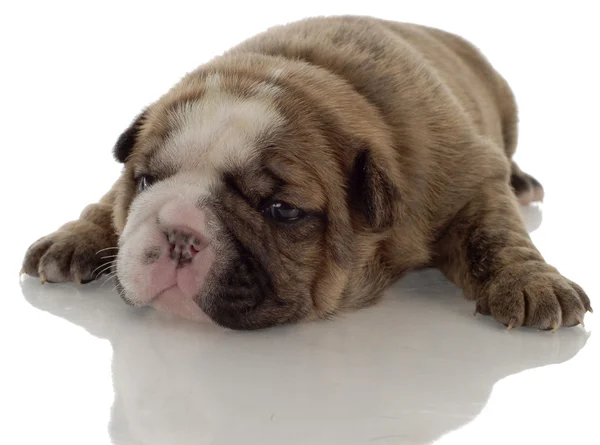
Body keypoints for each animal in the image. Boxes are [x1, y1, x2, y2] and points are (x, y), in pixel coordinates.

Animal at [21, 15, 592, 330]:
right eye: (144, 181)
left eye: (282, 210)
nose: (180, 231)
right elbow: (103, 204)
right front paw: (73, 238)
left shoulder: (471, 178)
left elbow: (496, 234)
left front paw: (532, 282)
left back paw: (524, 183)